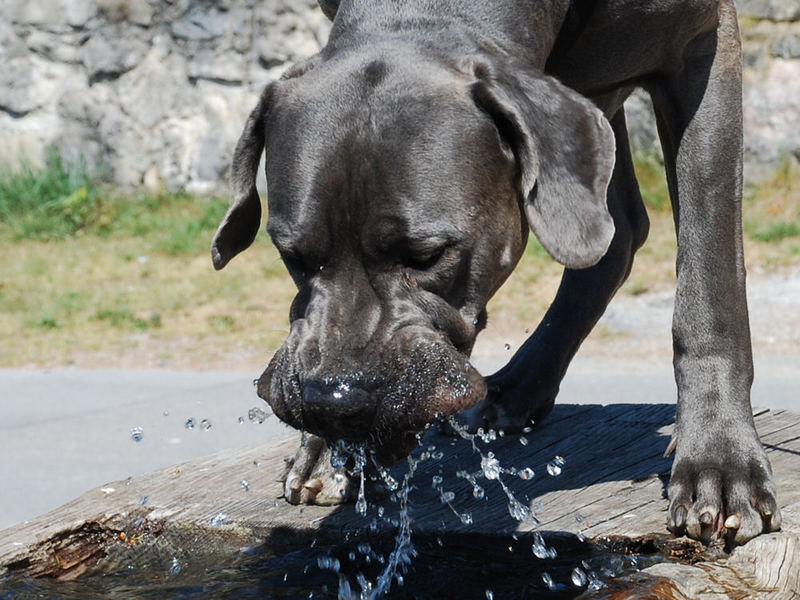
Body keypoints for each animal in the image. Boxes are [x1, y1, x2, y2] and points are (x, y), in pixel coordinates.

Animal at [211, 0, 780, 544]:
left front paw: (719, 456)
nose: (334, 400)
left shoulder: (704, 46)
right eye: (293, 256)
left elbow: (710, 272)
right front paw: (328, 450)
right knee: (616, 229)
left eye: (426, 255)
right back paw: (518, 388)